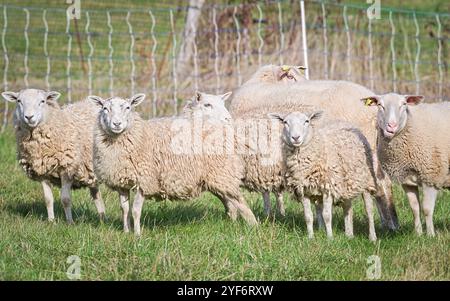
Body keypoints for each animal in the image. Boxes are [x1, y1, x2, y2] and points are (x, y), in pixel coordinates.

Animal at [1, 88, 106, 223]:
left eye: (42, 101)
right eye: (19, 101)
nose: (29, 117)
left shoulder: (67, 169)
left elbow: (65, 199)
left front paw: (70, 222)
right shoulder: (42, 173)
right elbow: (48, 199)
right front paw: (51, 221)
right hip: (90, 171)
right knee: (96, 193)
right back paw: (102, 219)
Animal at [89, 92, 256, 234]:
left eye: (128, 107)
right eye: (105, 108)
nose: (117, 124)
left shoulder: (145, 180)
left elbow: (136, 210)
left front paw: (137, 235)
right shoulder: (121, 182)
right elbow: (124, 209)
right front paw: (126, 232)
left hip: (222, 173)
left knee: (240, 201)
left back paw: (253, 225)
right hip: (215, 177)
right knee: (230, 202)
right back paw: (233, 223)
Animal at [268, 111, 378, 240]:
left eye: (307, 121)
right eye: (285, 122)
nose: (295, 138)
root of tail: (343, 122)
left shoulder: (328, 188)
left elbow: (327, 215)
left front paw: (330, 238)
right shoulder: (302, 190)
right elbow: (308, 216)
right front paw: (310, 237)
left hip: (366, 180)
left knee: (369, 210)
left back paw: (372, 237)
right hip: (345, 183)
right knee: (347, 208)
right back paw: (349, 235)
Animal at [362, 92, 450, 236]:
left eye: (403, 104)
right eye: (380, 105)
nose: (391, 126)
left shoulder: (431, 175)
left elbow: (426, 209)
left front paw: (430, 235)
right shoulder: (407, 180)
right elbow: (414, 208)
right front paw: (418, 234)